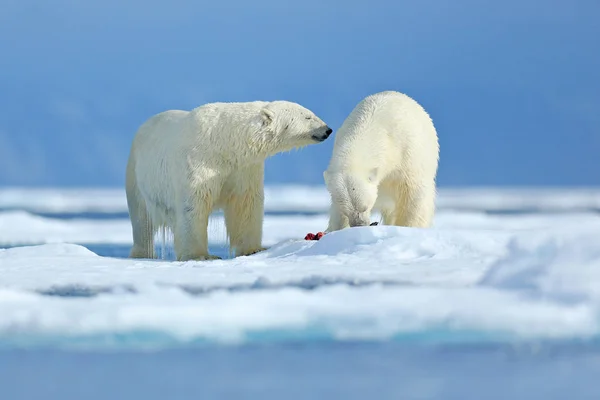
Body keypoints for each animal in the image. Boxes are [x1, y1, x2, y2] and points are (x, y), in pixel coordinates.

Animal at [126, 100, 332, 260]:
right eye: (308, 116)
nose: (328, 130)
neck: (225, 143)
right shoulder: (199, 162)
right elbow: (193, 204)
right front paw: (200, 255)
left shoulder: (243, 168)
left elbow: (246, 203)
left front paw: (254, 249)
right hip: (137, 174)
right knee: (141, 219)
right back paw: (143, 253)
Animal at [324, 90, 440, 231]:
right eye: (347, 211)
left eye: (365, 207)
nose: (360, 225)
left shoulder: (407, 155)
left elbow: (413, 196)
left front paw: (408, 227)